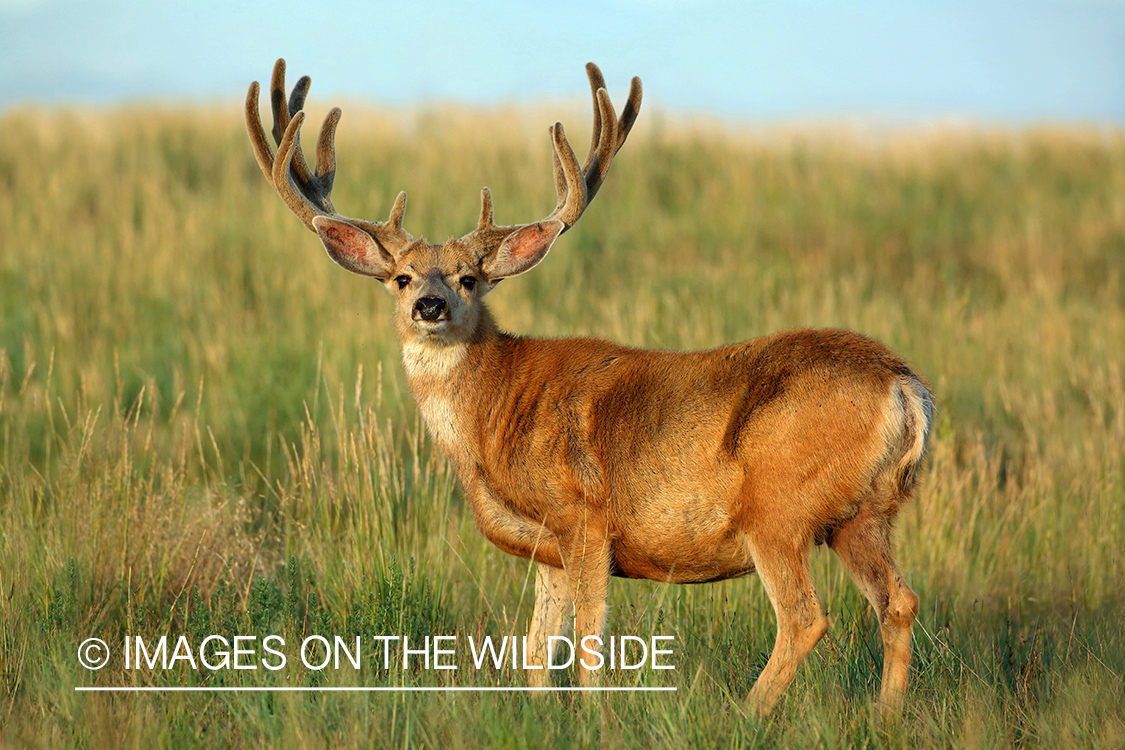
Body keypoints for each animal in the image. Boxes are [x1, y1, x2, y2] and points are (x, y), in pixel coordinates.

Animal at [250, 57, 936, 715]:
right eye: (401, 276)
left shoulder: (583, 515)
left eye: (470, 277)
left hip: (779, 508)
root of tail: (905, 388)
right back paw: (885, 718)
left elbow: (587, 640)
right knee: (898, 603)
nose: (430, 306)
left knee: (804, 617)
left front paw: (593, 718)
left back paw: (747, 714)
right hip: (865, 514)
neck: (493, 414)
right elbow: (534, 649)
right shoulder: (549, 548)